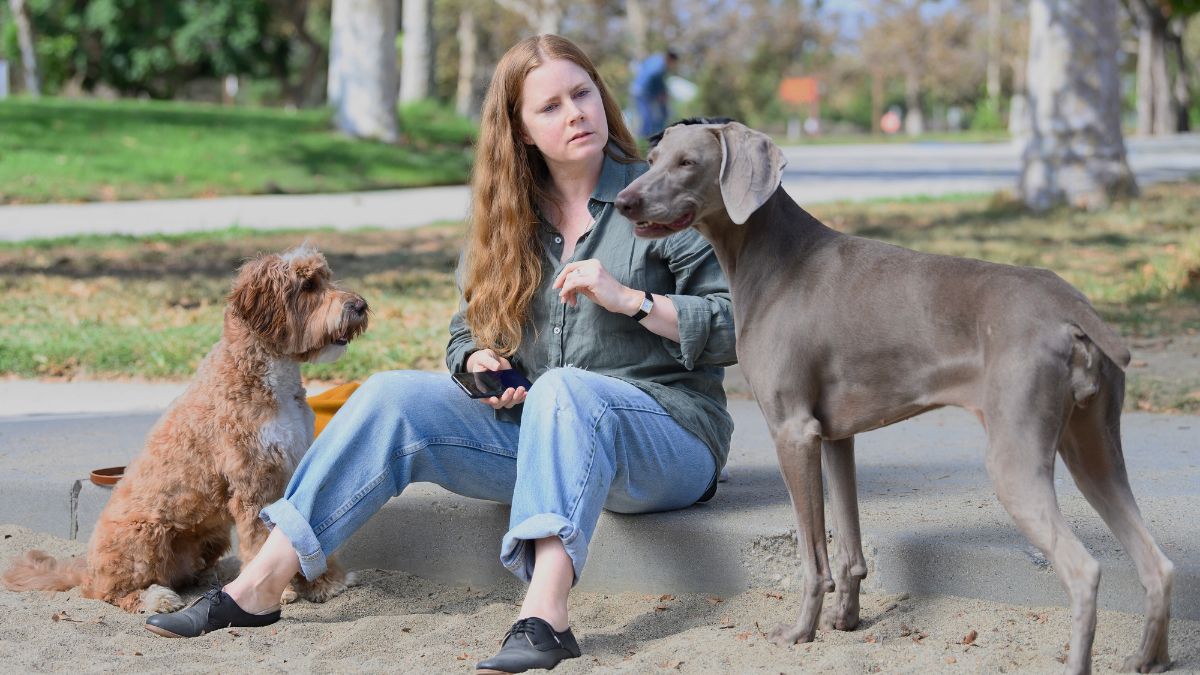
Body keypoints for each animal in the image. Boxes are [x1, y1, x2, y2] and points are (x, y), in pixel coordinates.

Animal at [619, 120, 1171, 672]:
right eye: (651, 160)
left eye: (688, 163)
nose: (624, 201)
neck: (773, 257)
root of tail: (1073, 306)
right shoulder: (834, 436)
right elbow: (848, 546)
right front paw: (845, 620)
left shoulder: (792, 431)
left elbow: (812, 555)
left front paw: (800, 632)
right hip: (1093, 448)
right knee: (1158, 565)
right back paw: (1149, 659)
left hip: (1016, 457)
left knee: (1083, 571)